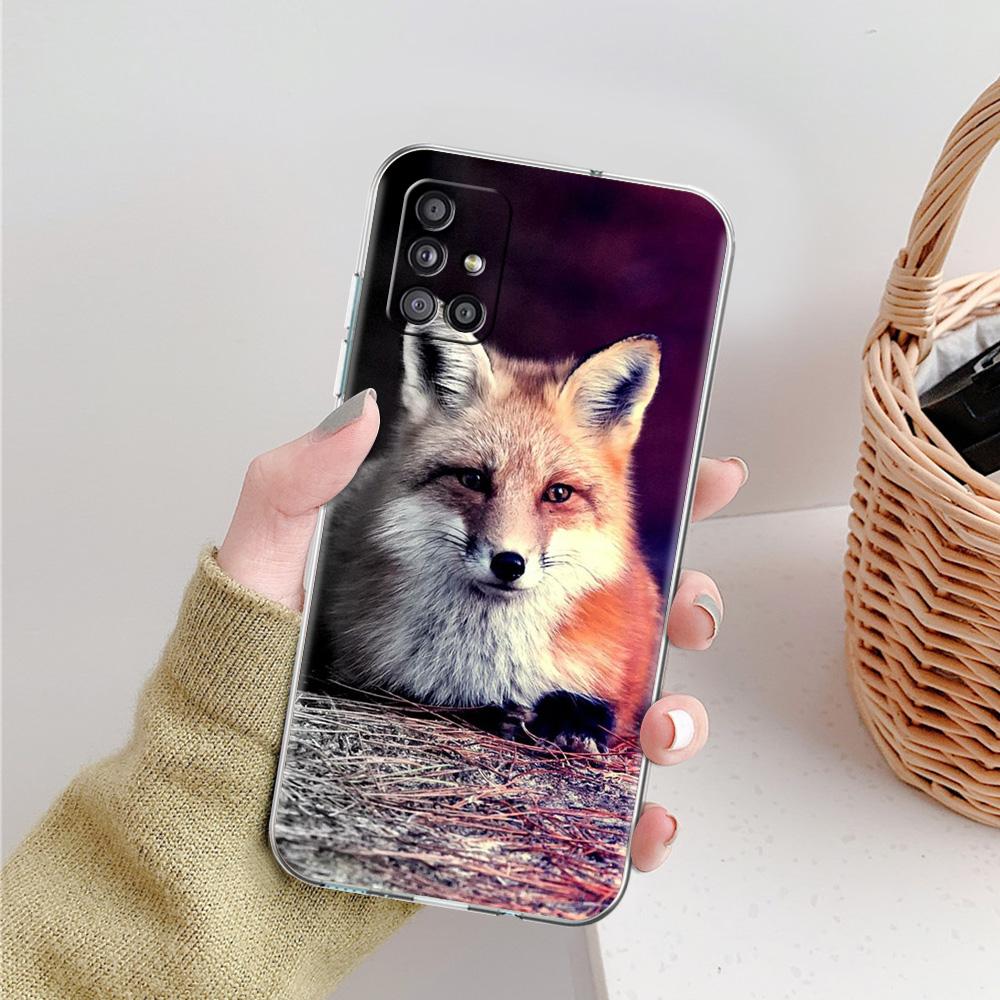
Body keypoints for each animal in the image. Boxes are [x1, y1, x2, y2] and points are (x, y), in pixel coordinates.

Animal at [311, 317, 664, 752]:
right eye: (473, 479)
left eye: (558, 493)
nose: (509, 564)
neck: (490, 659)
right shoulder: (361, 674)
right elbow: (429, 698)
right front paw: (496, 712)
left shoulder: (630, 671)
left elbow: (602, 706)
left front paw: (572, 722)